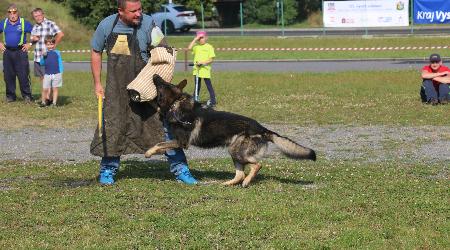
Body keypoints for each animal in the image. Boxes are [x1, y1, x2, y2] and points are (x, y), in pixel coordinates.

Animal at [146, 75, 314, 187]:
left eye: (162, 84)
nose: (155, 75)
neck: (176, 104)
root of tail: (262, 128)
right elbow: (162, 144)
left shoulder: (181, 142)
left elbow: (159, 144)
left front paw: (148, 152)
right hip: (233, 151)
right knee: (240, 174)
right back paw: (227, 183)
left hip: (236, 151)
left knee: (256, 165)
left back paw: (246, 182)